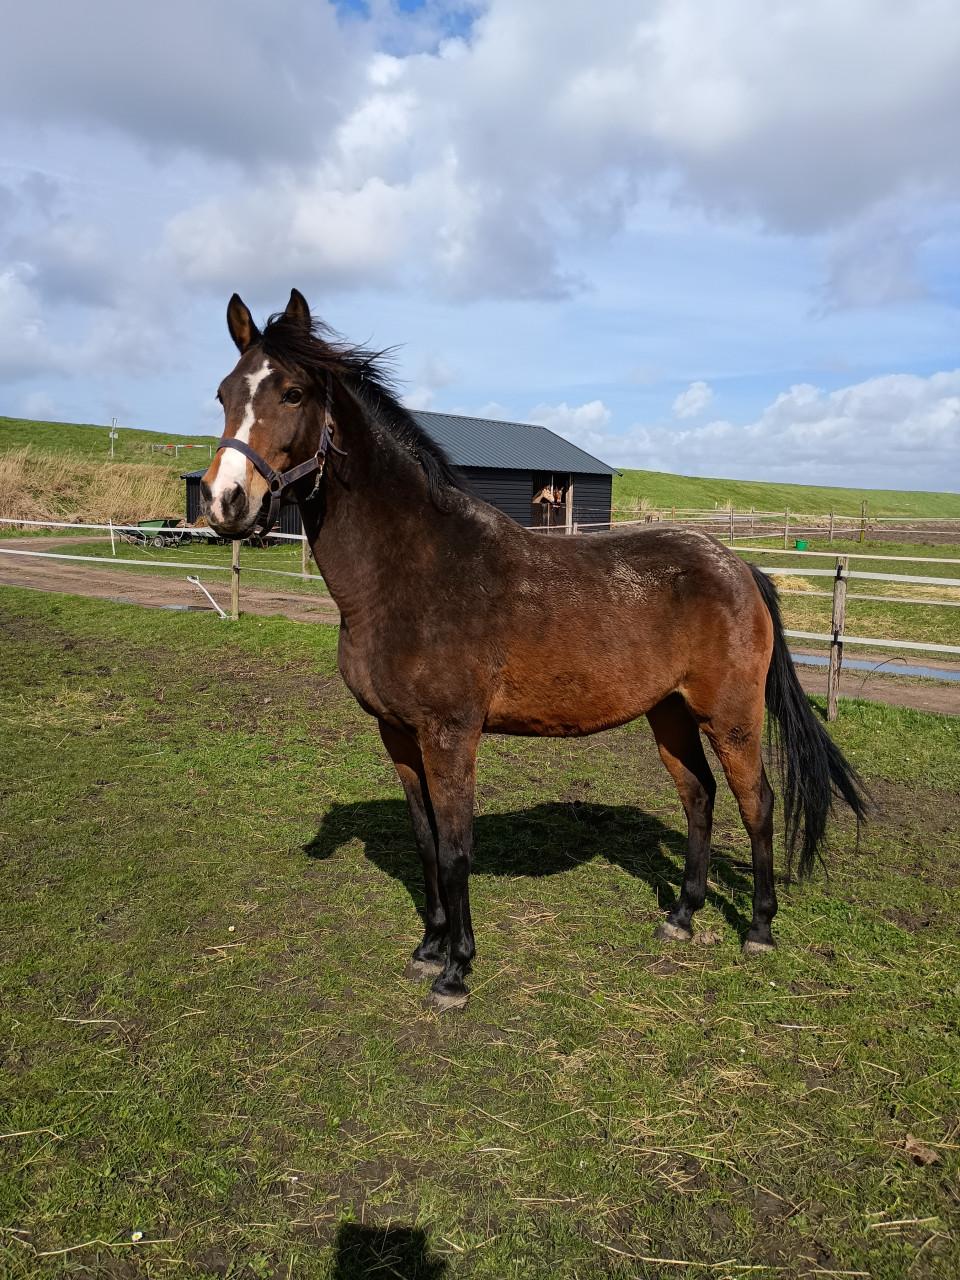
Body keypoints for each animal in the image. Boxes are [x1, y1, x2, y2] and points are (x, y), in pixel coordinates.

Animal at [201, 289, 867, 1010]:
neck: (412, 572)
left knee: (757, 803)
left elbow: (456, 848)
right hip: (669, 712)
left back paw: (760, 929)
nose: (225, 501)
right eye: (223, 393)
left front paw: (456, 972)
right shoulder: (397, 733)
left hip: (731, 715)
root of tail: (739, 568)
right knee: (699, 796)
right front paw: (428, 948)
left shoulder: (451, 734)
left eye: (292, 393)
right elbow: (426, 841)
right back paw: (682, 916)